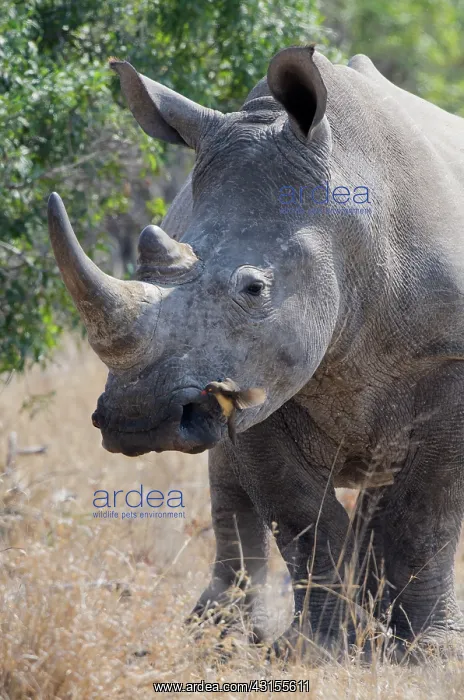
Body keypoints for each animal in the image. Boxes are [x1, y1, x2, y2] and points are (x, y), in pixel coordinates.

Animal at [47, 45, 464, 659]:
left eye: (254, 289)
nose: (138, 418)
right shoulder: (250, 384)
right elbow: (300, 519)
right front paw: (319, 648)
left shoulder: (449, 358)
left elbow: (424, 515)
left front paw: (424, 654)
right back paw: (218, 634)